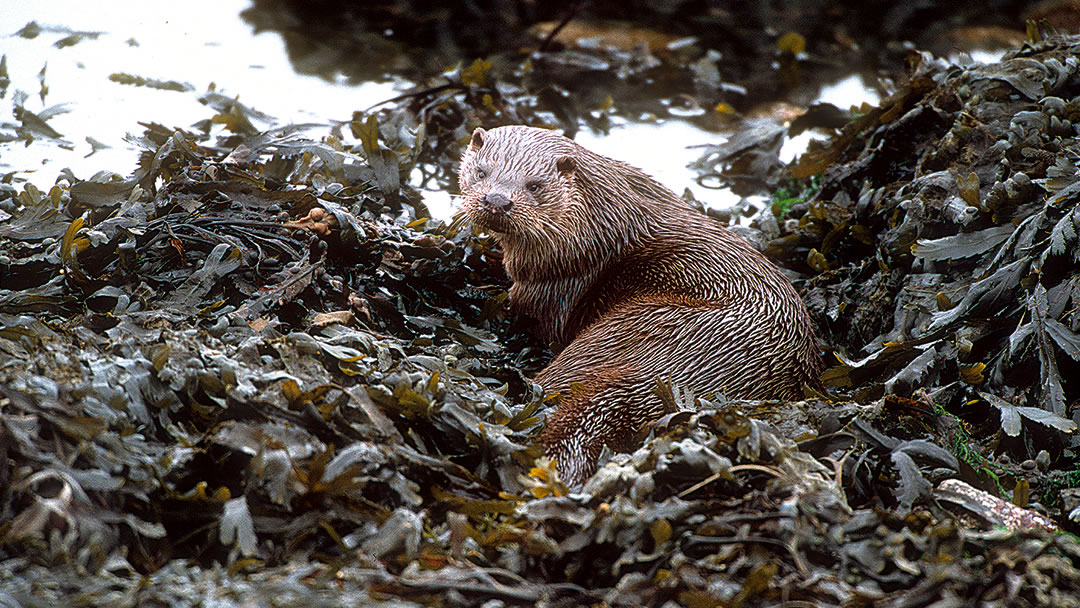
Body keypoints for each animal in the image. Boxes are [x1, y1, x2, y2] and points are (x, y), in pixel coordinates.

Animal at [455, 124, 816, 485]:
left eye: (535, 185)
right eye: (481, 171)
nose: (497, 200)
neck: (589, 233)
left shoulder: (547, 288)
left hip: (632, 324)